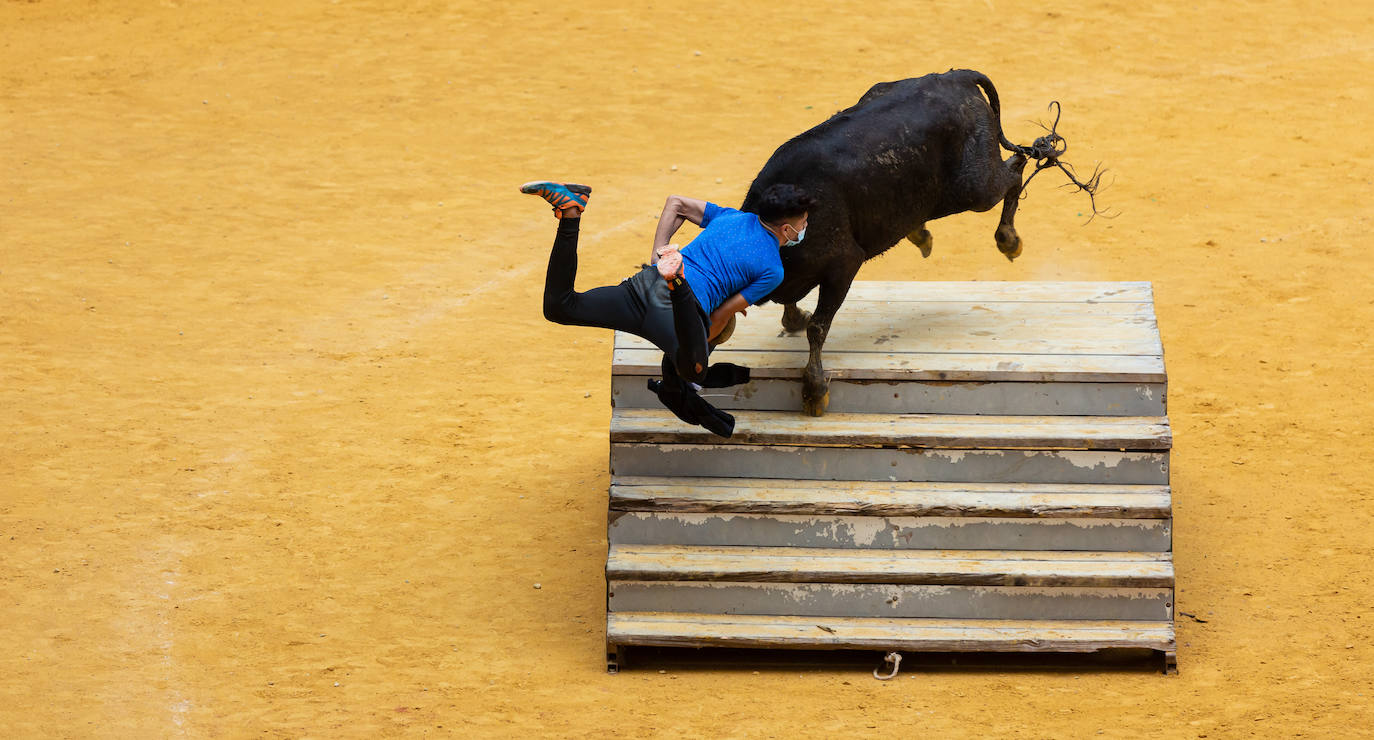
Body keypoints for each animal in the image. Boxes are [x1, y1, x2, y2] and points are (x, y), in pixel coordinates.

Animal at [741, 68, 1093, 417]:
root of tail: (956, 76)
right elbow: (794, 306)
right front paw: (794, 320)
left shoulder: (843, 265)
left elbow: (818, 327)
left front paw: (814, 391)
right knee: (1014, 166)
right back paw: (921, 233)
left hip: (976, 188)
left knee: (1015, 172)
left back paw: (1008, 239)